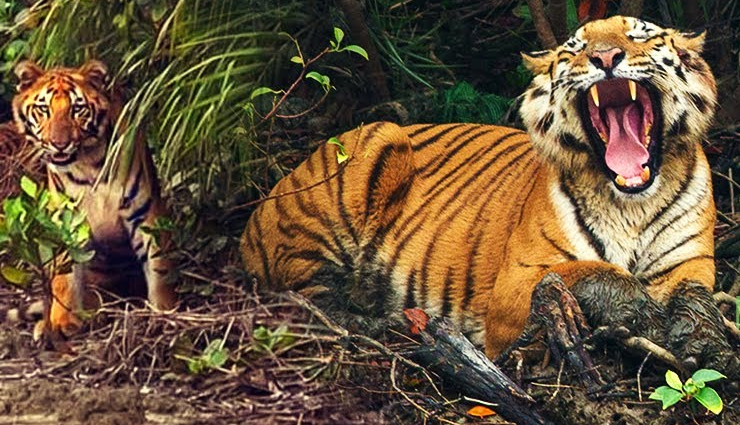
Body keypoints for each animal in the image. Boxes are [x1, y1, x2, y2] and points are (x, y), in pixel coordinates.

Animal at [10, 60, 176, 336]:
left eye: (77, 109)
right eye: (44, 109)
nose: (59, 144)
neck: (87, 165)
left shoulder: (144, 213)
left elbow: (159, 266)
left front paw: (165, 311)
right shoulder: (65, 220)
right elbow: (64, 277)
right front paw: (61, 322)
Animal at [241, 16, 738, 373]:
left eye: (638, 36)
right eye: (575, 49)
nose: (606, 56)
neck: (631, 202)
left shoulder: (690, 264)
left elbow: (697, 297)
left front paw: (707, 344)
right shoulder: (514, 285)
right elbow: (596, 273)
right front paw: (649, 316)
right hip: (374, 143)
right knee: (305, 296)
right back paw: (381, 320)